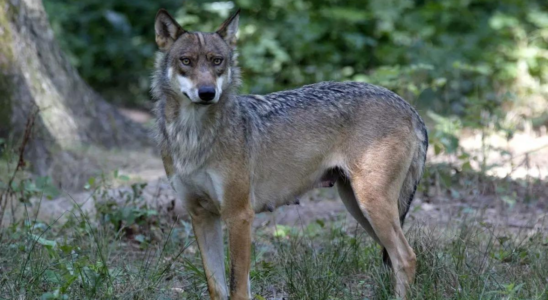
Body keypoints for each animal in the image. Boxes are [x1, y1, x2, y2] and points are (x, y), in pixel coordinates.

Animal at [151, 7, 428, 300]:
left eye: (217, 61)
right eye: (186, 61)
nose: (207, 93)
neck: (192, 136)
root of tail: (409, 107)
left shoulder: (239, 216)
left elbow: (238, 288)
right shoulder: (202, 217)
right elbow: (217, 287)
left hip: (372, 206)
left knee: (406, 257)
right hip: (360, 209)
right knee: (396, 257)